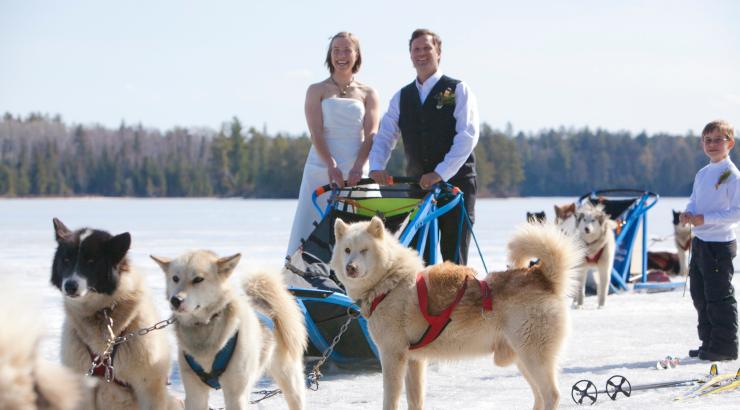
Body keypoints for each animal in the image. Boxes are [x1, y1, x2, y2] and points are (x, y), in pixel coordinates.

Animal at [50, 219, 181, 408]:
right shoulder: (83, 383)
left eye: (91, 261)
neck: (102, 312)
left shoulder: (149, 386)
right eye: (66, 260)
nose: (70, 286)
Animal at [152, 250, 308, 410]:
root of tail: (264, 302)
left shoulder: (236, 395)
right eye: (175, 278)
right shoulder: (195, 393)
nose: (175, 300)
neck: (204, 326)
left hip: (290, 381)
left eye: (198, 279)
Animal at [332, 218, 580, 410]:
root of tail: (541, 275)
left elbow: (390, 400)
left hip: (534, 357)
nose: (350, 268)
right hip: (523, 360)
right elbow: (415, 400)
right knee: (539, 396)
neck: (390, 283)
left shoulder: (393, 356)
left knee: (551, 395)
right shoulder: (415, 361)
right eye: (347, 250)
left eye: (364, 250)